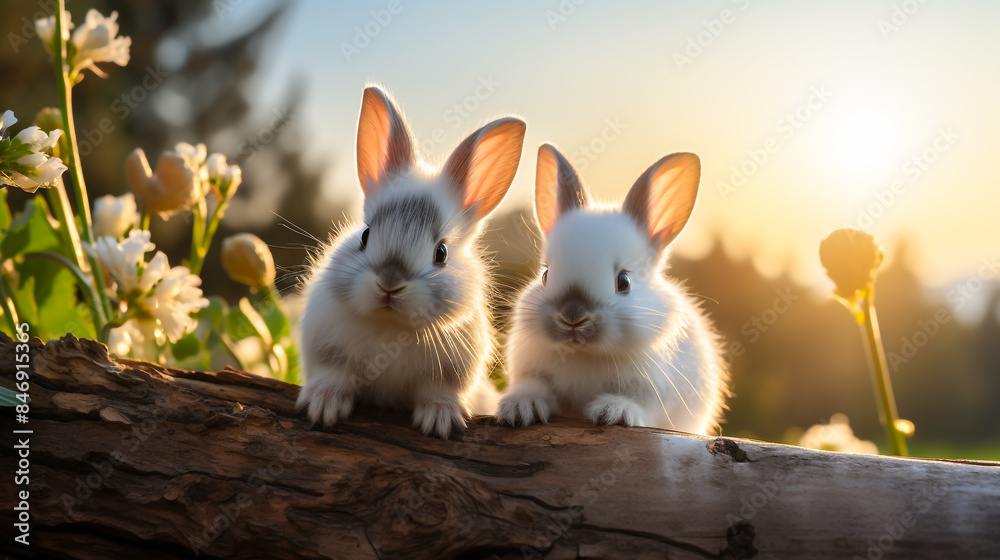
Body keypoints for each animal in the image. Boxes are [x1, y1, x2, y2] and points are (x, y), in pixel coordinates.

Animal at [296, 86, 525, 438]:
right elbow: (332, 375)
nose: (390, 284)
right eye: (365, 236)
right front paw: (323, 406)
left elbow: (438, 393)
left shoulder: (448, 374)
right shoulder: (326, 351)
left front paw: (440, 420)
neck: (391, 325)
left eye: (441, 253)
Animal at [498, 144, 728, 435]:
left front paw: (612, 411)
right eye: (546, 275)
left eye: (624, 282)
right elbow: (535, 387)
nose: (572, 317)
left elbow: (639, 404)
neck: (584, 355)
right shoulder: (531, 371)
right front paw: (521, 408)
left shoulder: (652, 392)